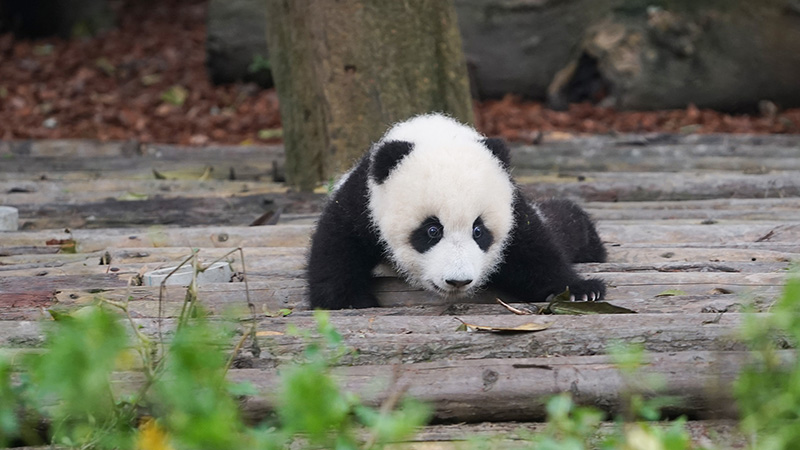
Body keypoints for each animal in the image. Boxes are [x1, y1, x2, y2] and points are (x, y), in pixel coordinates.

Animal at [307, 113, 607, 309]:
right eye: (432, 230)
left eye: (479, 231)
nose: (458, 281)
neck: (435, 134)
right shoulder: (363, 200)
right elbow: (338, 244)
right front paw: (349, 301)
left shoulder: (512, 206)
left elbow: (536, 253)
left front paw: (581, 291)